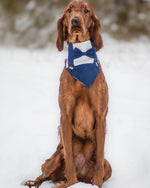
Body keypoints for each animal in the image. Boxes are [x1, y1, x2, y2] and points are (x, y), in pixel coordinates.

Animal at [24, 0, 111, 188]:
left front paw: (96, 183)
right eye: (69, 10)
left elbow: (99, 157)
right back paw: (34, 182)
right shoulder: (66, 115)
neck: (81, 60)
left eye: (86, 10)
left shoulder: (100, 116)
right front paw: (72, 182)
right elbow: (69, 156)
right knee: (44, 175)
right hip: (54, 158)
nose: (75, 21)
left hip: (109, 167)